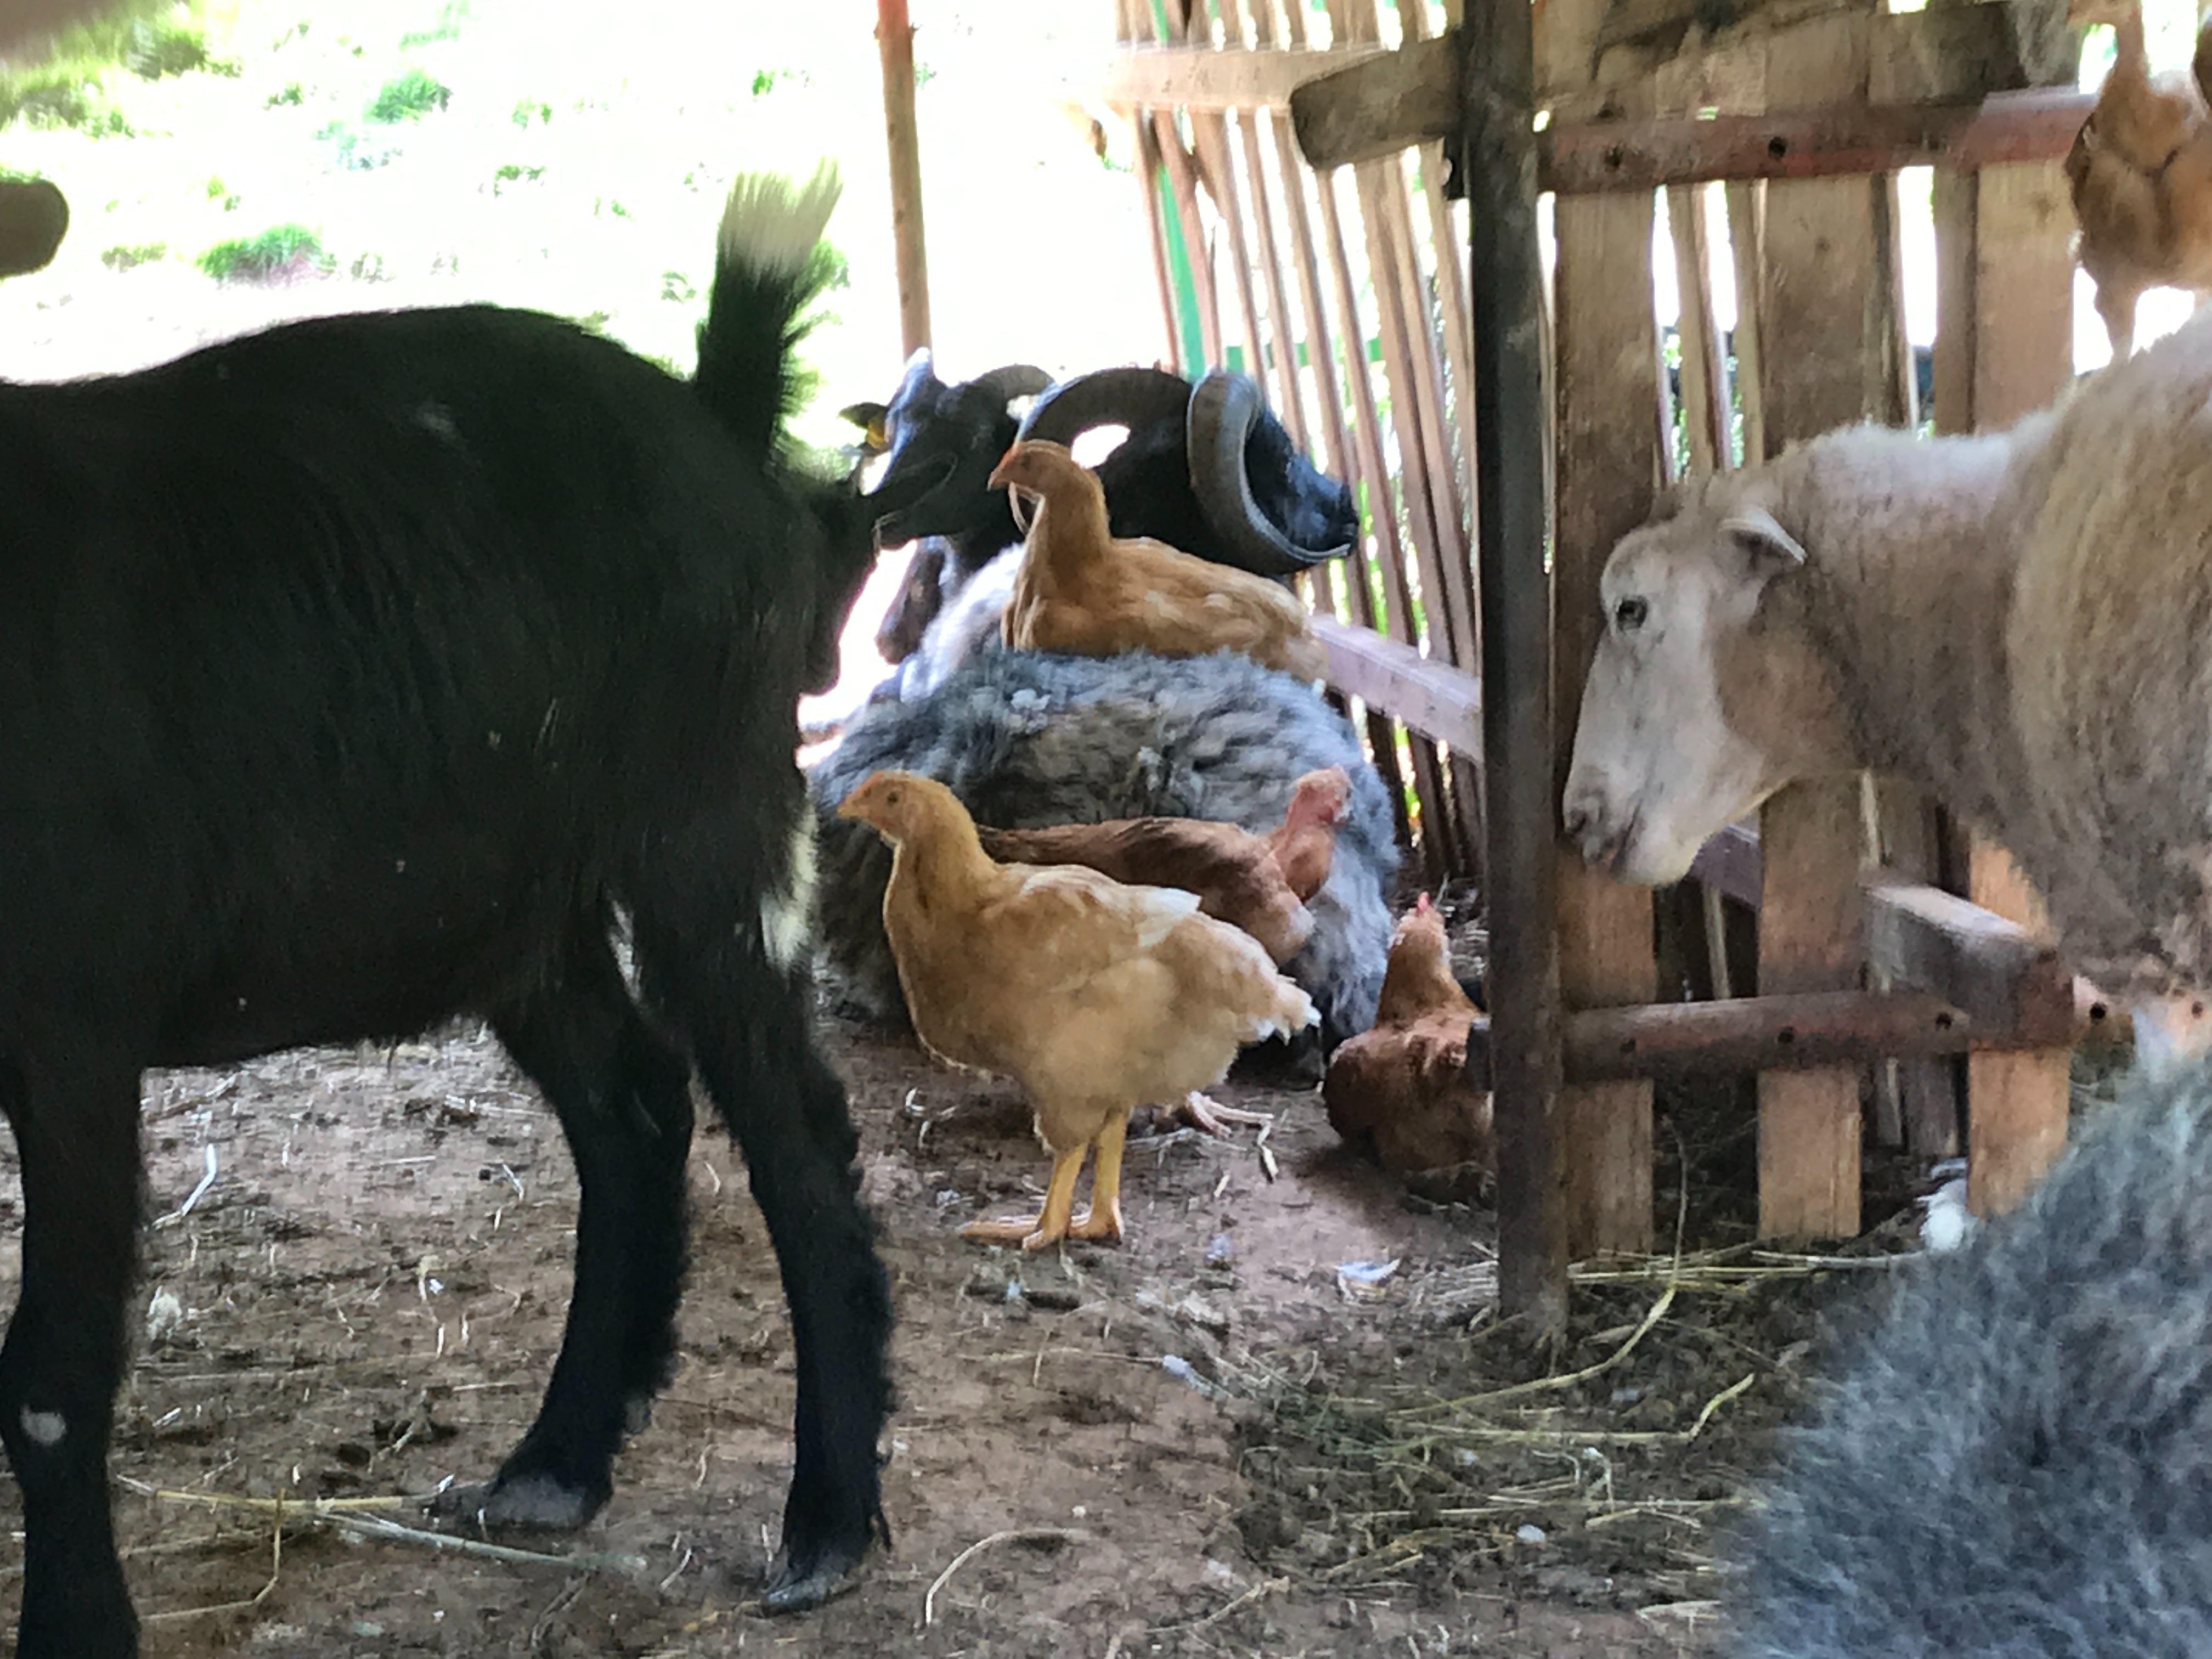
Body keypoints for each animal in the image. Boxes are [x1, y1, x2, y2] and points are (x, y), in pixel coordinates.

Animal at [0, 166, 920, 1658]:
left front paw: (76, 1630)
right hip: (519, 907)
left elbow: (50, 1370)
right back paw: (557, 1460)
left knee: (797, 1144)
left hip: (707, 825)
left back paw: (825, 1521)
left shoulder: (72, 1026)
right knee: (635, 1110)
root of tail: (716, 424)